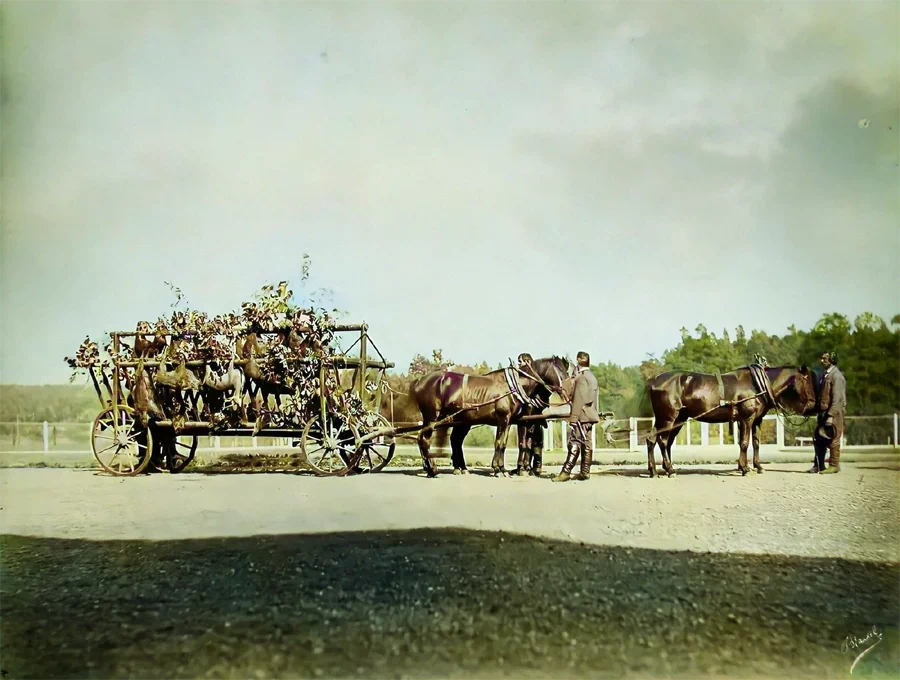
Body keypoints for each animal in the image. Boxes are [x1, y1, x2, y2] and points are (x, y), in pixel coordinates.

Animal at [408, 356, 568, 478]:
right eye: (560, 371)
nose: (568, 389)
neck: (514, 386)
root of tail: (419, 381)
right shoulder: (503, 419)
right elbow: (499, 443)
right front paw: (498, 469)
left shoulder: (510, 421)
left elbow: (503, 444)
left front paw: (502, 469)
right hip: (432, 417)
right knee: (424, 439)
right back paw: (433, 470)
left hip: (458, 421)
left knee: (448, 440)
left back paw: (454, 468)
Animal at [644, 366, 820, 478]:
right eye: (807, 381)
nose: (813, 406)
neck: (757, 386)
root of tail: (654, 381)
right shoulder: (746, 419)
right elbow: (744, 443)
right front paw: (745, 468)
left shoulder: (756, 420)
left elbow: (755, 443)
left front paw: (757, 466)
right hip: (668, 418)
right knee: (662, 441)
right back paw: (669, 470)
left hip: (676, 419)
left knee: (655, 440)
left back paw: (655, 470)